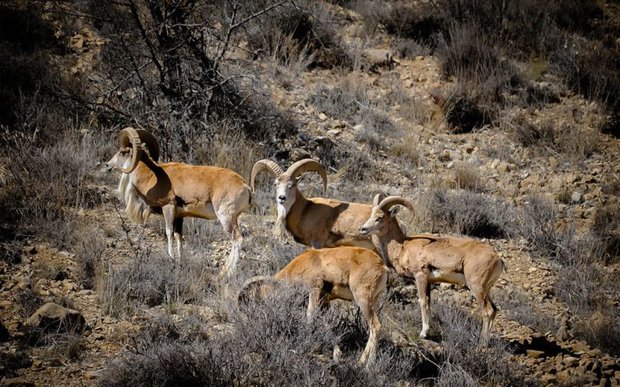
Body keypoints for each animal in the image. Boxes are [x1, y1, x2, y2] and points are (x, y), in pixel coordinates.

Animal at [105, 127, 251, 276]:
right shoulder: (180, 216)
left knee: (237, 240)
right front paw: (181, 263)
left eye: (122, 152)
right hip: (233, 218)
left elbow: (169, 233)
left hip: (226, 217)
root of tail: (244, 185)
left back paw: (228, 274)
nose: (107, 165)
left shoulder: (168, 208)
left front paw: (171, 260)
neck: (152, 176)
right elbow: (178, 236)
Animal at [239, 247, 388, 366]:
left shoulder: (314, 290)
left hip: (363, 300)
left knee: (376, 327)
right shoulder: (324, 302)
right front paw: (337, 356)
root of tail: (382, 266)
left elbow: (310, 317)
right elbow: (328, 325)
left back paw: (366, 365)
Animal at [358, 197, 504, 342]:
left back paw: (483, 341)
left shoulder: (420, 277)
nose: (363, 229)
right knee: (494, 309)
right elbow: (428, 303)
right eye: (371, 215)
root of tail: (498, 259)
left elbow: (422, 302)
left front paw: (423, 334)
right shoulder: (428, 282)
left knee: (488, 311)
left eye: (380, 217)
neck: (402, 246)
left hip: (477, 287)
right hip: (486, 289)